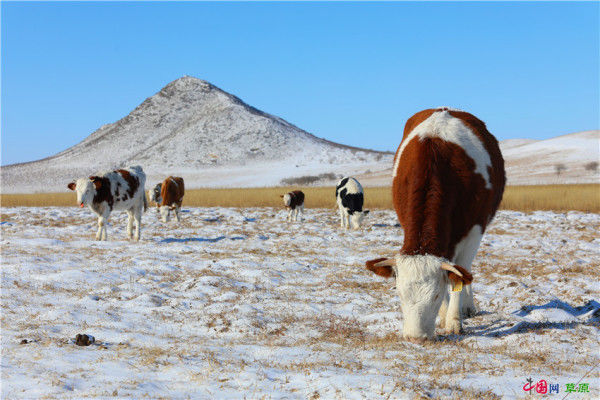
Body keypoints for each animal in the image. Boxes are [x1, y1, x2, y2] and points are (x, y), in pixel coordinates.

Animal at [366, 108, 506, 340]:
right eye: (399, 293)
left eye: (435, 295)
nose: (415, 338)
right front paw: (444, 314)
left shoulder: (475, 229)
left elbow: (461, 276)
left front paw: (454, 320)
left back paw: (467, 307)